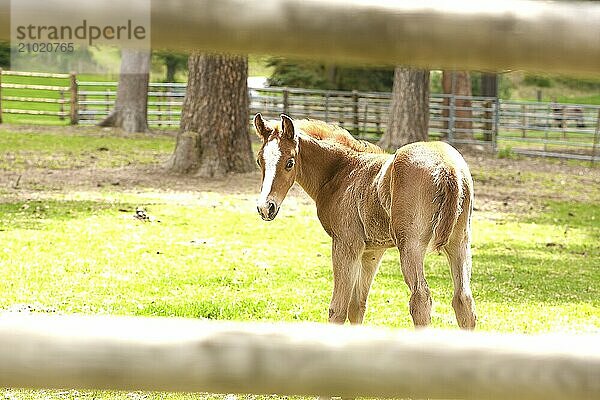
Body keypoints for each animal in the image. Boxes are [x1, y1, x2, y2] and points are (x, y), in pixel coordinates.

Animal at [254, 112, 478, 328]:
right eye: (259, 161)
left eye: (290, 162)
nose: (266, 208)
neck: (341, 172)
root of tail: (448, 168)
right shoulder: (372, 251)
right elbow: (357, 305)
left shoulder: (346, 244)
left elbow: (338, 309)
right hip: (459, 243)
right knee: (463, 300)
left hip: (411, 246)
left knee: (420, 299)